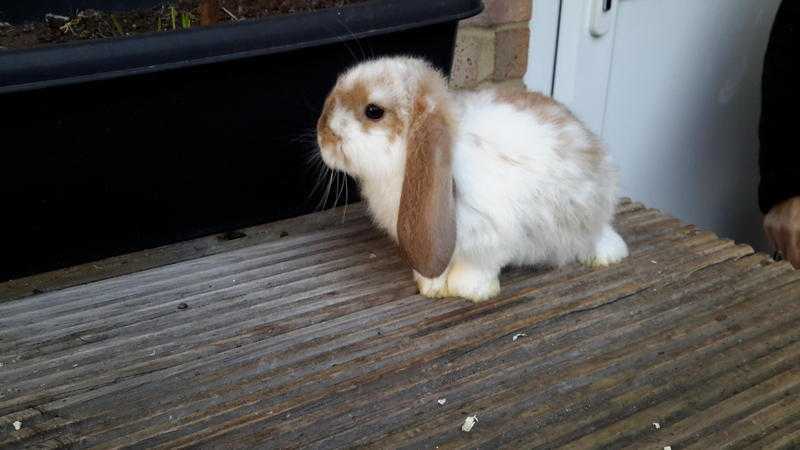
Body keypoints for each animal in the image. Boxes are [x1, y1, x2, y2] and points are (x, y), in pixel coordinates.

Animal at [316, 56, 628, 302]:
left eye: (373, 111)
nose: (322, 135)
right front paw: (431, 286)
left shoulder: (490, 237)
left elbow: (477, 267)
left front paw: (469, 290)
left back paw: (608, 255)